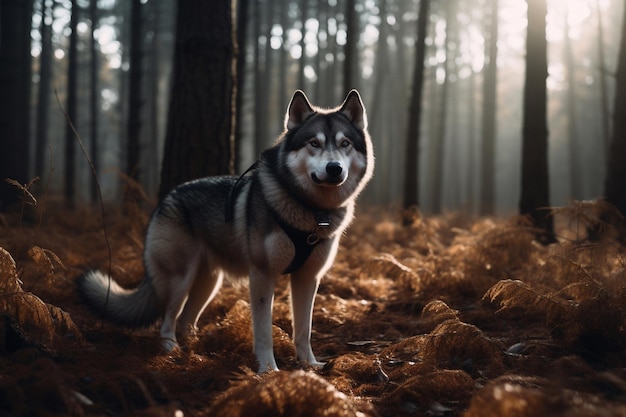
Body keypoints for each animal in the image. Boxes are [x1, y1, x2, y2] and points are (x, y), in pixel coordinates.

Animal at [75, 88, 372, 370]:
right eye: (314, 143)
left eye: (345, 144)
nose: (334, 168)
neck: (311, 210)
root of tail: (167, 197)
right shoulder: (262, 276)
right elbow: (263, 332)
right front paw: (268, 370)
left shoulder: (308, 279)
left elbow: (304, 330)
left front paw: (309, 366)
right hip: (180, 280)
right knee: (167, 320)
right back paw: (171, 350)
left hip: (209, 283)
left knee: (186, 320)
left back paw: (197, 349)